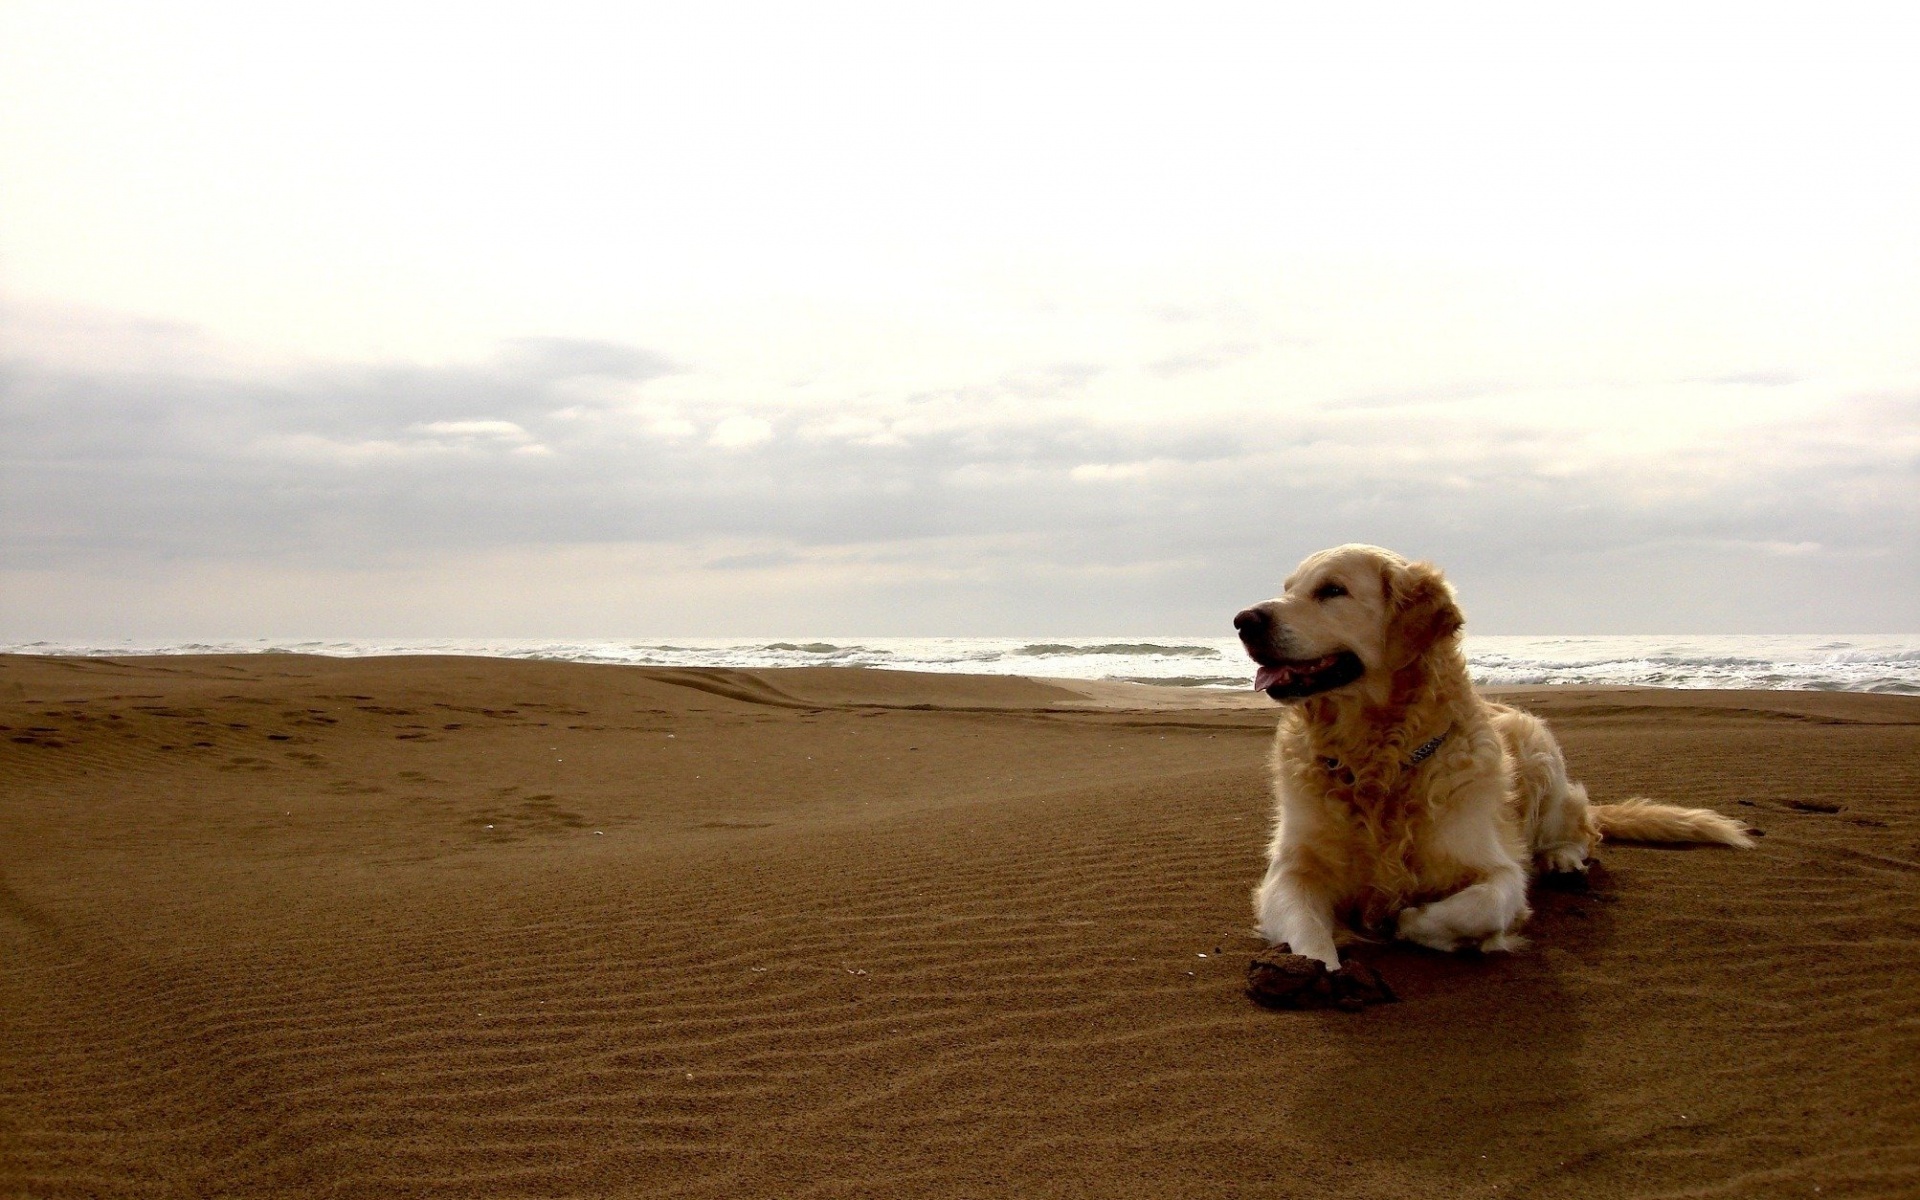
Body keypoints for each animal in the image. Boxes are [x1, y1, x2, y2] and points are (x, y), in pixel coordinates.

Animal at [1228, 541, 1758, 963]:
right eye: (1289, 587)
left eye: (1332, 590)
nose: (1242, 620)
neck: (1380, 762)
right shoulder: (1290, 872)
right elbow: (1308, 933)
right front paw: (1319, 972)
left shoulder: (1497, 868)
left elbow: (1475, 906)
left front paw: (1406, 921)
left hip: (1542, 754)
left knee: (1584, 829)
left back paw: (1563, 860)